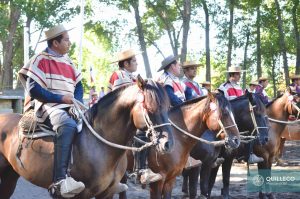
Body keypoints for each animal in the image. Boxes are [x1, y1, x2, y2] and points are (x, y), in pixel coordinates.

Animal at [0, 77, 173, 199]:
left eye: (167, 107)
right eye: (149, 108)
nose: (168, 144)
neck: (100, 145)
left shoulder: (107, 193)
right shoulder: (82, 194)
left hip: (10, 175)